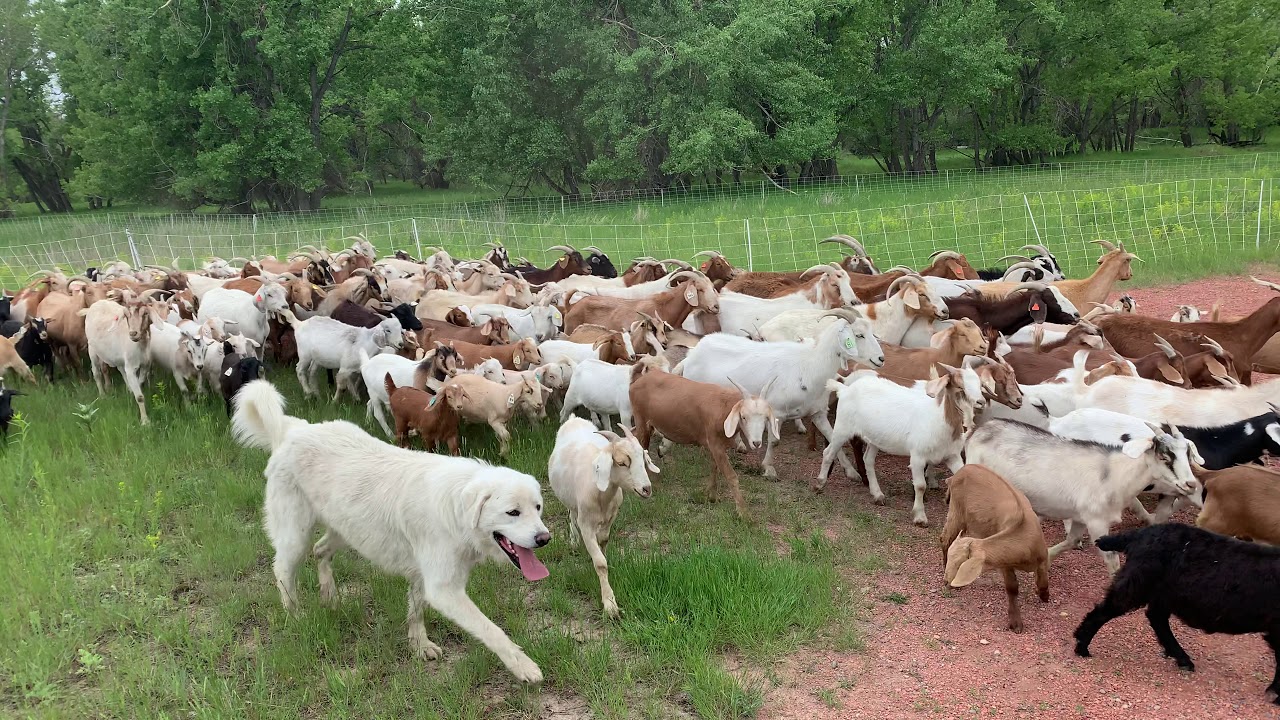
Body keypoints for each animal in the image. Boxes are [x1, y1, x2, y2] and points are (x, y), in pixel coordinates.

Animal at [548, 419, 656, 617]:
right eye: (621, 463)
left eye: (643, 459)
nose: (646, 489)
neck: (600, 492)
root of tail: (574, 418)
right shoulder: (586, 526)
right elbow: (600, 564)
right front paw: (610, 604)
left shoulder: (610, 518)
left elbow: (604, 543)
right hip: (570, 502)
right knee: (571, 515)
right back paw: (574, 541)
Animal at [940, 464, 1050, 633]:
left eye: (960, 564)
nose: (946, 581)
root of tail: (961, 471)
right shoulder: (1004, 563)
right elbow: (1012, 588)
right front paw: (1016, 623)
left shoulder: (1043, 556)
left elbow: (1043, 579)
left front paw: (1044, 595)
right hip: (956, 510)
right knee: (945, 539)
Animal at [965, 419, 1199, 573]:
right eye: (1164, 456)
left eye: (1188, 454)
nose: (1191, 484)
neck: (1113, 474)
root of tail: (978, 430)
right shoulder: (1097, 521)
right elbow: (1112, 560)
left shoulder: (1080, 517)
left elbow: (1071, 541)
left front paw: (1043, 563)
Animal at [1073, 523, 1280, 706]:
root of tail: (1138, 535)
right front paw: (1276, 694)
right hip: (1139, 582)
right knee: (1106, 610)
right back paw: (1082, 646)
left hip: (1162, 592)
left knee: (1156, 618)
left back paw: (1182, 658)